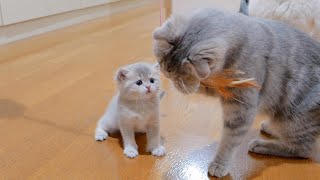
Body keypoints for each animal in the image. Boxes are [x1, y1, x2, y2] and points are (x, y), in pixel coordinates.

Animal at [152, 8, 320, 177]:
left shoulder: (240, 107)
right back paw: (269, 128)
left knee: (304, 149)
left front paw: (219, 164)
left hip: (292, 121)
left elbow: (229, 141)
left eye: (178, 76)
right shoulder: (221, 89)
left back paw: (262, 145)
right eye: (163, 65)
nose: (166, 74)